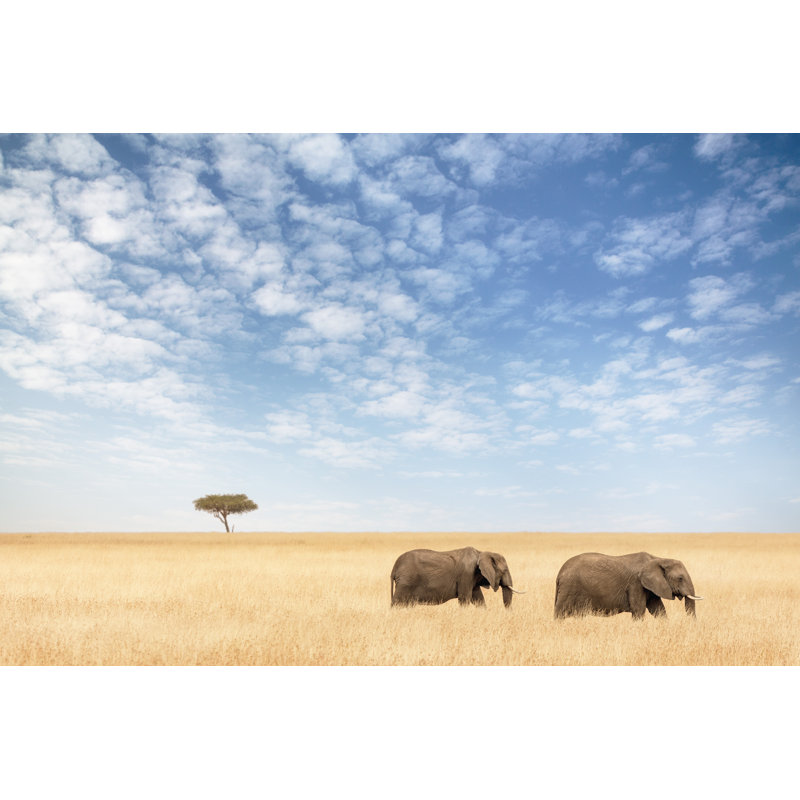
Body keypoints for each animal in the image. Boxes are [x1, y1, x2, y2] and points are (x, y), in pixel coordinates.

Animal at [390, 546, 524, 607]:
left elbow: (478, 599)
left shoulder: (472, 579)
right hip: (406, 582)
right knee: (397, 602)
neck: (482, 552)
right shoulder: (466, 575)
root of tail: (394, 567)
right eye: (504, 570)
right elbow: (465, 598)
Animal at [554, 551, 702, 620]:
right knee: (560, 613)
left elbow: (658, 610)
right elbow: (639, 610)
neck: (659, 559)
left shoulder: (651, 587)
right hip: (569, 589)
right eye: (680, 578)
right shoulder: (636, 584)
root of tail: (560, 573)